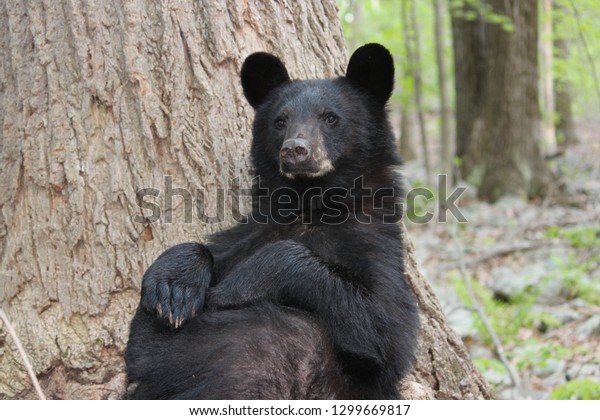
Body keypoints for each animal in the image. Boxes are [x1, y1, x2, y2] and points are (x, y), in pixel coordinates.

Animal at [125, 43, 420, 400]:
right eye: (281, 121)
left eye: (331, 117)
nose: (295, 149)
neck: (309, 204)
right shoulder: (253, 230)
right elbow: (148, 339)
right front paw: (173, 289)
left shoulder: (374, 242)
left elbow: (389, 326)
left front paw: (235, 288)